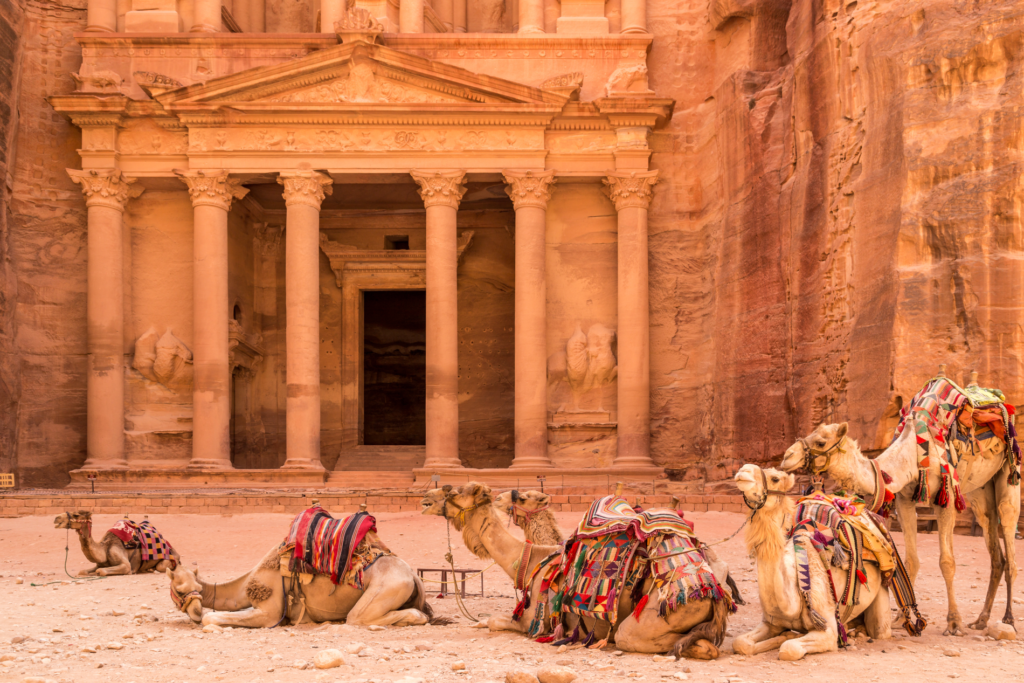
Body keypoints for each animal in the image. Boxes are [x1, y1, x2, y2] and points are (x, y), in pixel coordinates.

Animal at [421, 483, 729, 659]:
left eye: (453, 493)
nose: (425, 498)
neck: (529, 561)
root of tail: (711, 591)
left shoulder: (533, 622)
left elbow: (494, 621)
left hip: (656, 613)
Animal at [733, 462, 892, 659]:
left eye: (775, 478)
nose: (743, 471)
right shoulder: (770, 622)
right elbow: (741, 643)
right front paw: (784, 635)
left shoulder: (827, 628)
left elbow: (789, 648)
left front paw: (785, 638)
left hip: (882, 588)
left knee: (880, 629)